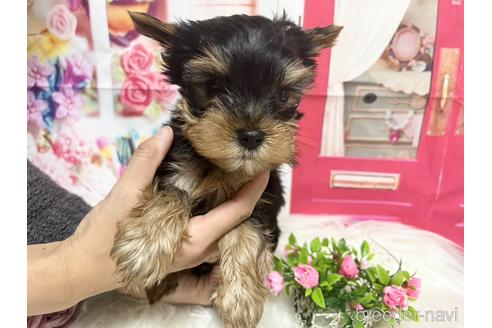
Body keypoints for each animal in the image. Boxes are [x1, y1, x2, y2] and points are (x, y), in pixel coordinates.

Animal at [110, 10, 342, 328]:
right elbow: (173, 194)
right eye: (214, 87)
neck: (224, 169)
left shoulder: (263, 198)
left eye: (283, 95)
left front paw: (240, 298)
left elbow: (247, 230)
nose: (252, 136)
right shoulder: (173, 168)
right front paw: (144, 249)